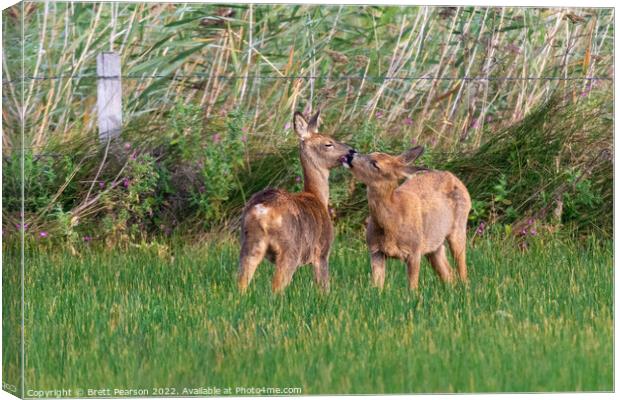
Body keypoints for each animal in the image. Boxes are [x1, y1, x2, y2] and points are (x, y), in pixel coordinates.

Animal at [237, 109, 354, 294]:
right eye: (328, 143)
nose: (351, 151)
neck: (317, 197)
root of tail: (262, 210)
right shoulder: (322, 251)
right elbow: (323, 286)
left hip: (249, 243)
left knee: (241, 282)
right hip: (290, 248)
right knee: (277, 285)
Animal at [346, 145, 472, 290]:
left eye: (375, 164)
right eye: (372, 152)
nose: (350, 154)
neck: (392, 222)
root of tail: (454, 177)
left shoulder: (414, 250)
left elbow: (412, 287)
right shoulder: (375, 250)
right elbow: (377, 286)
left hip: (458, 228)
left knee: (462, 271)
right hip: (434, 244)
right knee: (448, 274)